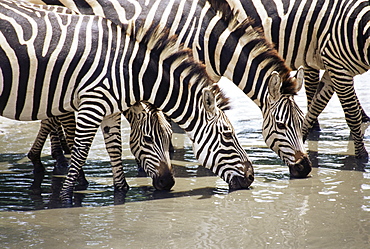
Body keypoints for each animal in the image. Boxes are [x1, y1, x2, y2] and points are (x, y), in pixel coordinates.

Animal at [0, 0, 254, 205]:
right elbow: (81, 150)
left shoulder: (109, 109)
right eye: (227, 135)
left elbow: (114, 147)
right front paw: (66, 197)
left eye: (168, 138)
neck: (128, 70)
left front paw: (121, 190)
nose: (251, 176)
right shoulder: (92, 104)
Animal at [223, 0, 370, 159]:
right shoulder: (337, 64)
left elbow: (316, 104)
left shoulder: (333, 66)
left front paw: (303, 136)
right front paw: (362, 156)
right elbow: (352, 114)